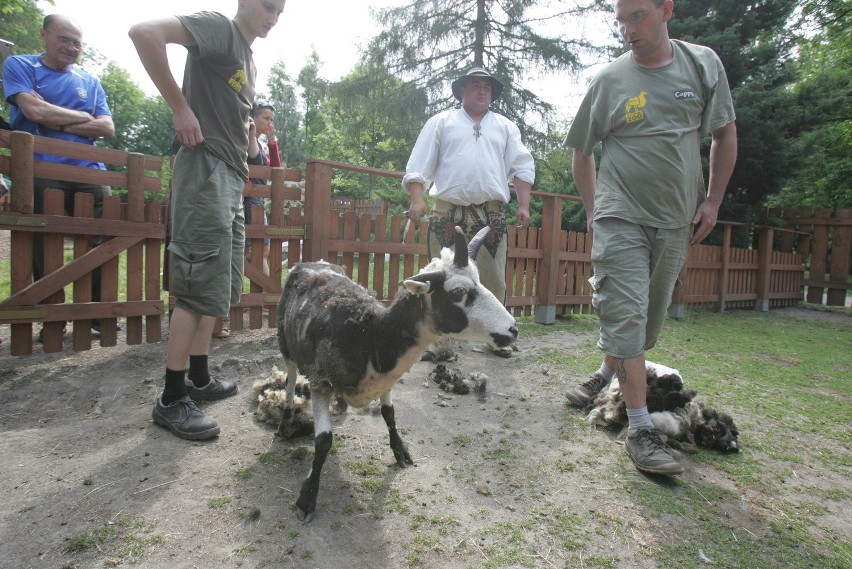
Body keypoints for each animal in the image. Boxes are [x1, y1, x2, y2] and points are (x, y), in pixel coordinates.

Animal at [276, 225, 516, 520]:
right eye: (458, 291)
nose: (513, 329)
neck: (372, 335)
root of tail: (311, 262)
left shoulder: (385, 381)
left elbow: (389, 414)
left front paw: (401, 451)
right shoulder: (320, 382)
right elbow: (323, 441)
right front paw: (307, 498)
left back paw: (341, 404)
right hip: (285, 345)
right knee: (289, 381)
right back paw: (285, 421)